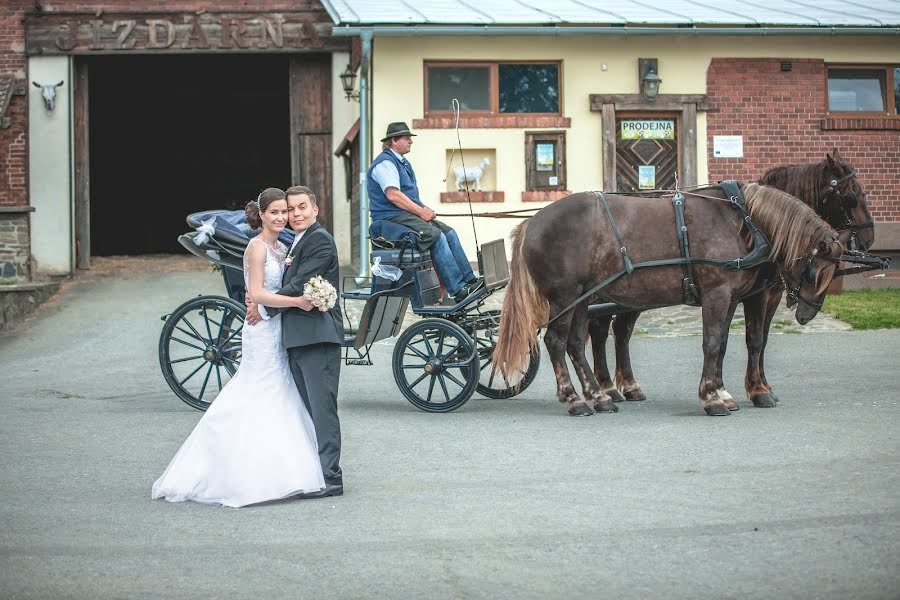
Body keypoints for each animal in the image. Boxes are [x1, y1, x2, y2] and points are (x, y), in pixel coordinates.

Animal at [492, 184, 844, 418]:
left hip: (582, 297)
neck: (743, 221)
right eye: (817, 272)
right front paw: (713, 398)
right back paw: (575, 399)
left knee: (576, 343)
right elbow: (714, 344)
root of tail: (532, 222)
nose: (807, 314)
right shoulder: (720, 294)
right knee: (556, 341)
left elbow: (724, 344)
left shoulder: (731, 297)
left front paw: (725, 392)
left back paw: (600, 397)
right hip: (565, 297)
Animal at [588, 152, 868, 408]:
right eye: (852, 195)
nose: (868, 239)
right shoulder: (753, 294)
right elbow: (752, 339)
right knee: (599, 331)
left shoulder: (745, 294)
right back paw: (607, 388)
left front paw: (728, 390)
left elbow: (731, 340)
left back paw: (626, 386)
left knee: (620, 331)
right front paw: (756, 391)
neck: (751, 223)